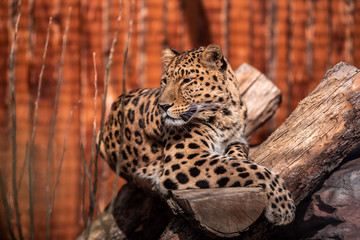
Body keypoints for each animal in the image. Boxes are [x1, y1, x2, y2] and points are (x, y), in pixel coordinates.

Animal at [98, 44, 296, 226]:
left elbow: (238, 158)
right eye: (164, 81)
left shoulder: (238, 140)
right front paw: (283, 206)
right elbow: (246, 169)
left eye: (187, 80)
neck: (226, 114)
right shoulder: (185, 159)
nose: (162, 106)